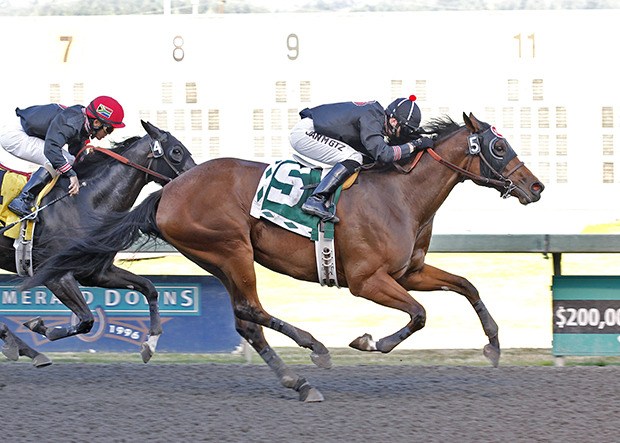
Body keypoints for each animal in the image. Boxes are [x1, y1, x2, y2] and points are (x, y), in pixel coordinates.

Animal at [1, 119, 195, 366]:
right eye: (176, 151)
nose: (196, 178)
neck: (85, 201)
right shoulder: (55, 275)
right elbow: (86, 320)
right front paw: (38, 325)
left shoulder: (96, 272)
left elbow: (149, 288)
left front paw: (150, 344)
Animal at [26, 112, 544, 400]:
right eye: (498, 146)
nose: (536, 187)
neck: (400, 194)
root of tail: (169, 190)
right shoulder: (367, 280)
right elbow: (418, 315)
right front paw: (368, 342)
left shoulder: (409, 271)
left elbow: (467, 285)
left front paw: (493, 345)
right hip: (230, 248)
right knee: (252, 310)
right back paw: (314, 351)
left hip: (217, 258)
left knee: (246, 321)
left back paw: (297, 381)